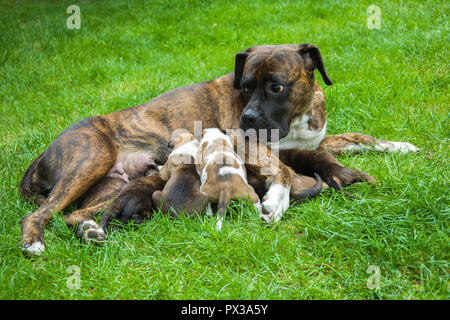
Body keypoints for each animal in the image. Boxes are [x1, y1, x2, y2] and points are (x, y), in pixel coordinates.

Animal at [18, 44, 418, 255]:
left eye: (275, 86)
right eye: (244, 86)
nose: (248, 117)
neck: (298, 115)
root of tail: (40, 155)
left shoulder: (310, 142)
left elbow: (359, 137)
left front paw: (399, 145)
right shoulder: (254, 147)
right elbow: (284, 171)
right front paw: (276, 201)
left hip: (113, 184)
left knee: (74, 215)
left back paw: (90, 230)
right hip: (92, 158)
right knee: (40, 214)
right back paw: (34, 242)